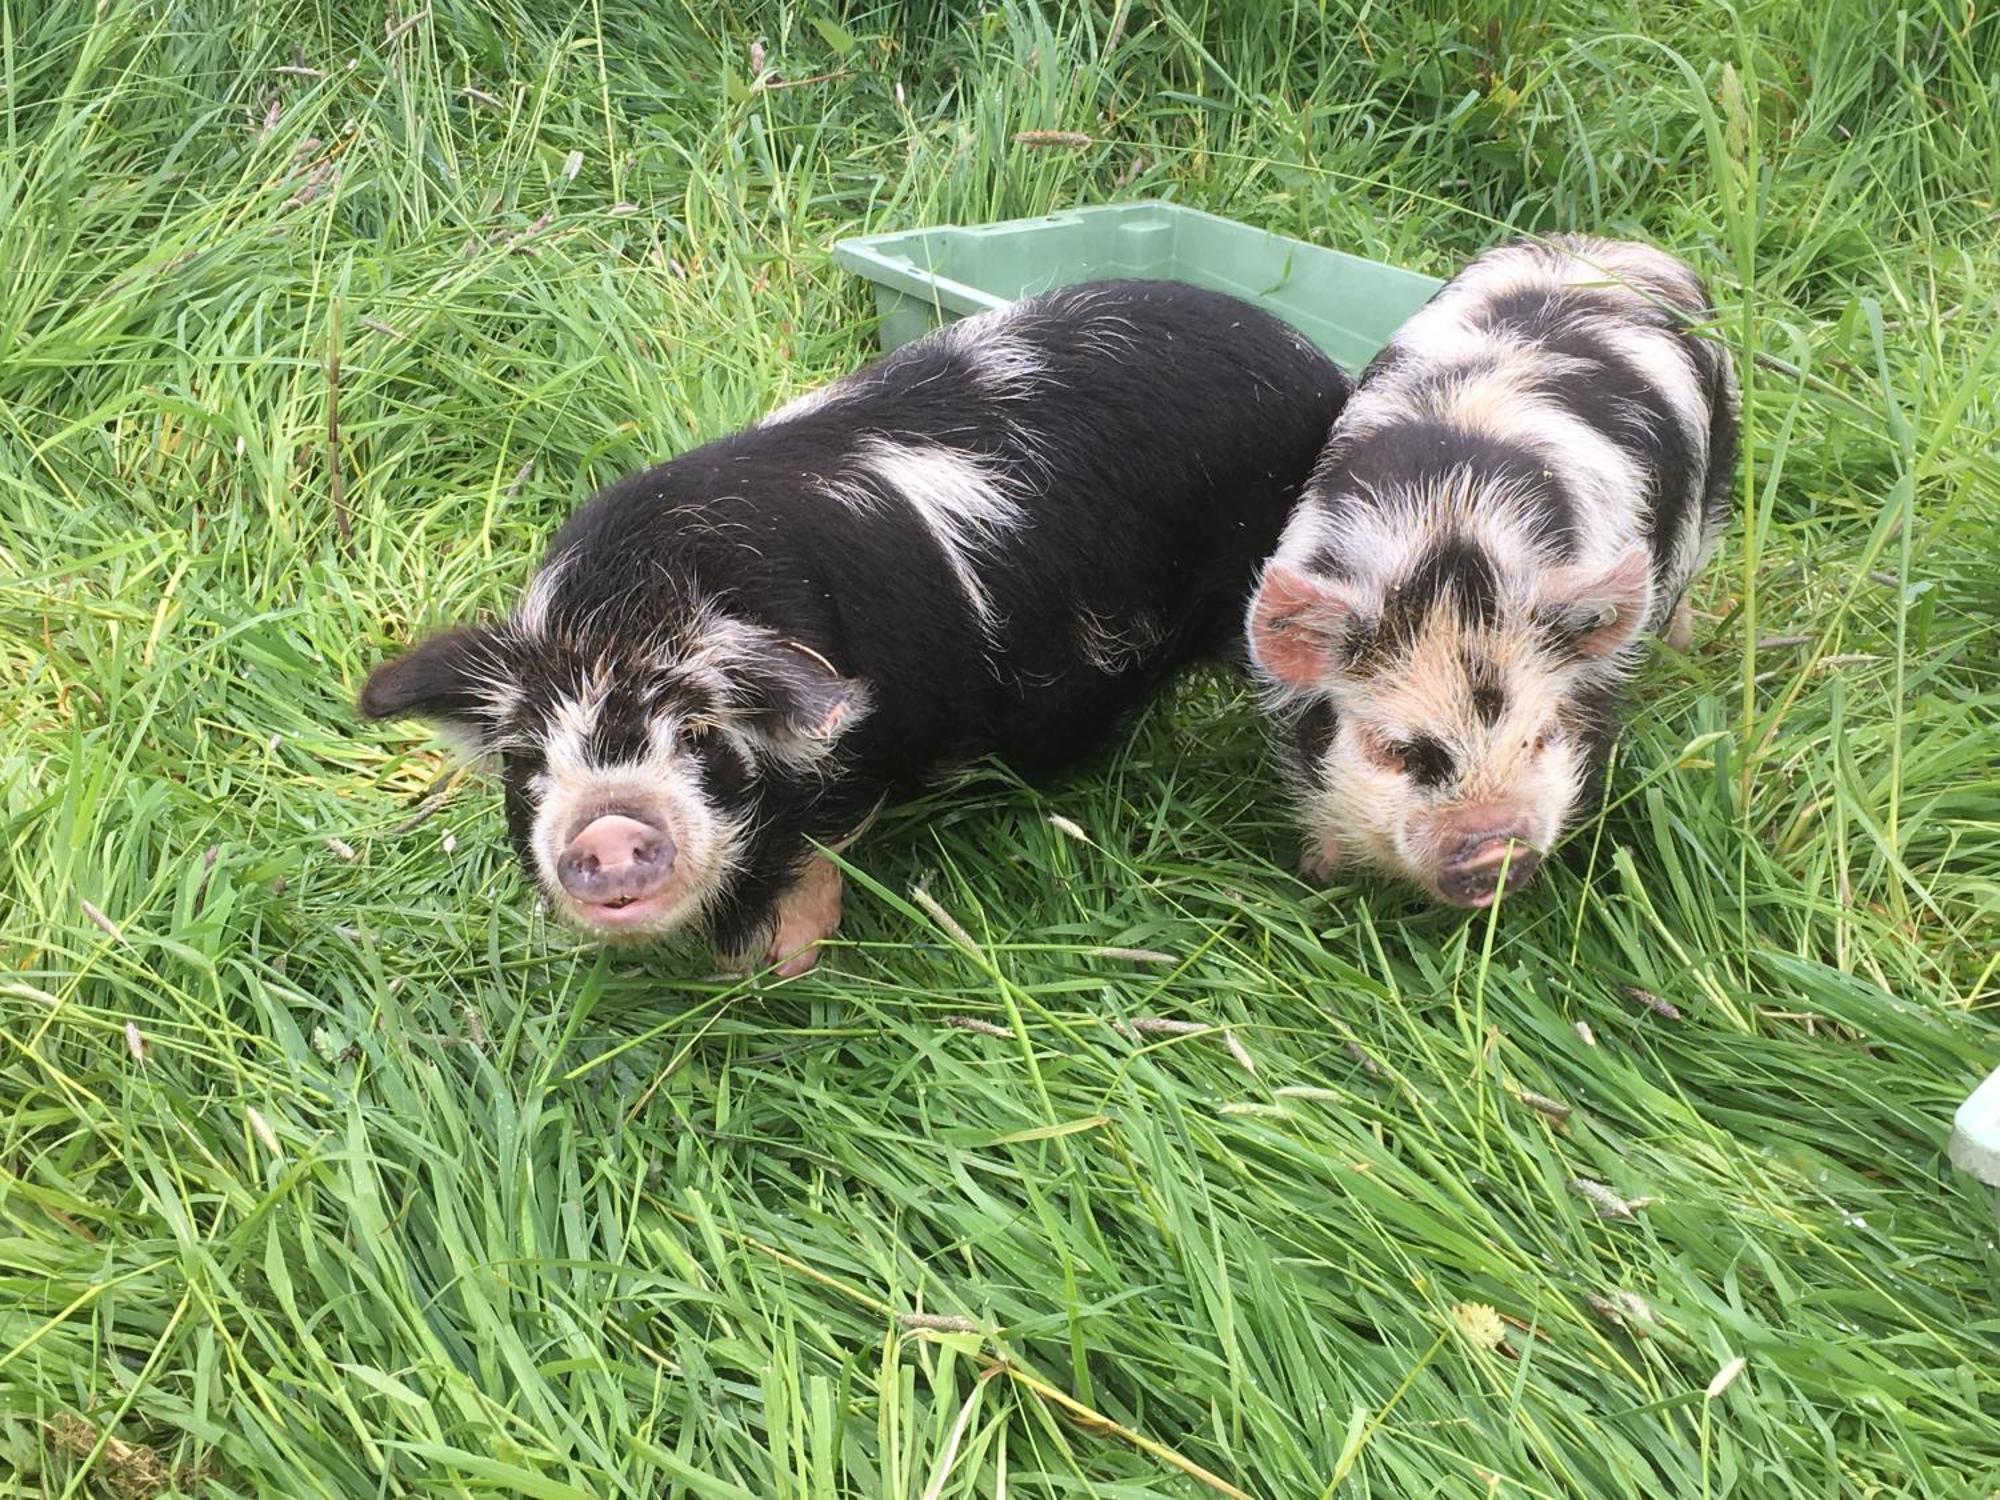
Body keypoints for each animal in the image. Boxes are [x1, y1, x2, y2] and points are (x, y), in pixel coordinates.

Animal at [368, 284, 1352, 980]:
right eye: (525, 760)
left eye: (698, 734)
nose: (607, 826)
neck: (632, 609)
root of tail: (1318, 368)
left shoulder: (855, 756)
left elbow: (811, 856)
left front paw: (773, 973)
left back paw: (1320, 867)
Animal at [1248, 235, 1736, 912]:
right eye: (1396, 751)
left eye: (1539, 737)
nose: (1494, 848)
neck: (1452, 534)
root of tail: (1622, 245)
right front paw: (1318, 875)